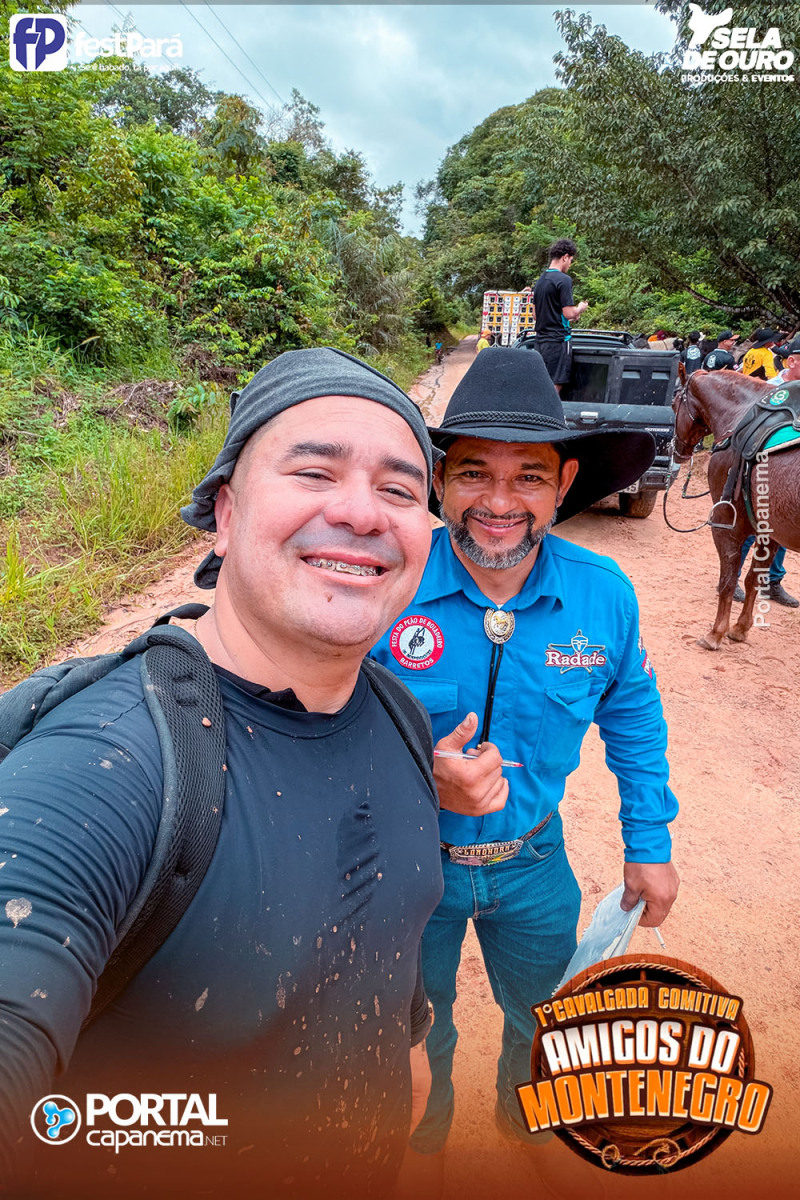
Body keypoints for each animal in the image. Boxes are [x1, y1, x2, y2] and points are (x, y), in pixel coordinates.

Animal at [672, 370, 800, 650]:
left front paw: (715, 633)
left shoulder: (726, 523)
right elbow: (753, 578)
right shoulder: (769, 529)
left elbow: (728, 580)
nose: (675, 448)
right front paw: (740, 628)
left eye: (674, 404)